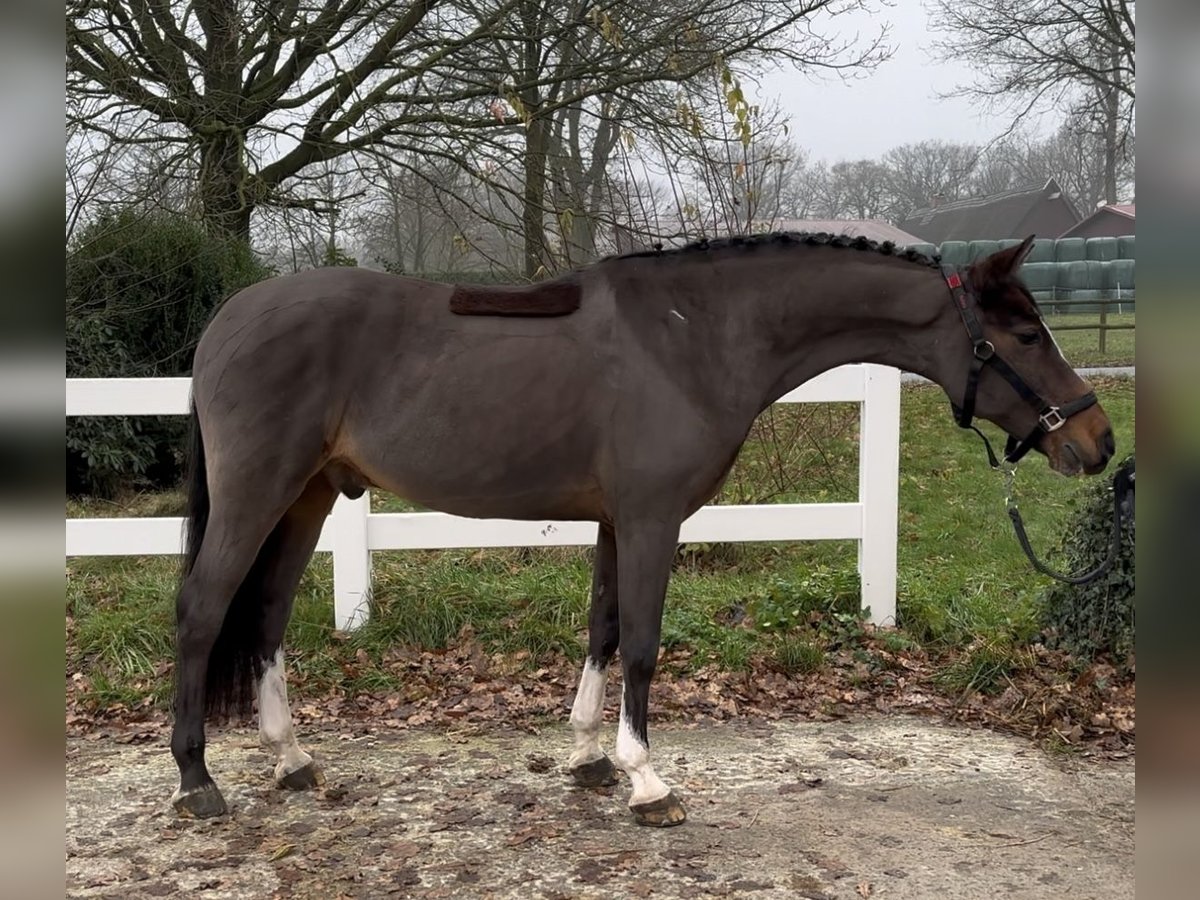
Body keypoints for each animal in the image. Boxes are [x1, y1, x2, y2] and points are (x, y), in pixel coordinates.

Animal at [169, 236, 1113, 830]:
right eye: (1024, 332)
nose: (1097, 442)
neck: (695, 337)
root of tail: (222, 323)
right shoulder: (656, 519)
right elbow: (647, 645)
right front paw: (648, 782)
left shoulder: (615, 521)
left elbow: (603, 629)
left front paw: (589, 757)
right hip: (261, 493)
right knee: (203, 612)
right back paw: (197, 781)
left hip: (308, 498)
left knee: (267, 615)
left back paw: (292, 760)